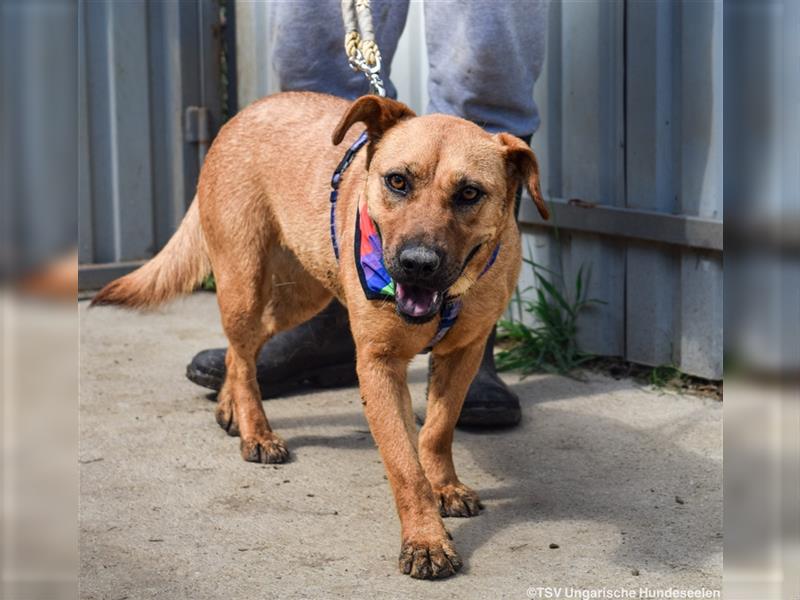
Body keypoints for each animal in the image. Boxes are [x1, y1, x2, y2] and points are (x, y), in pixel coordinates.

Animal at [90, 92, 548, 576]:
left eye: (469, 193)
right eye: (398, 181)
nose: (417, 264)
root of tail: (248, 110)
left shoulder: (464, 353)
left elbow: (438, 431)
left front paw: (443, 486)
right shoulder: (378, 365)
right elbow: (404, 465)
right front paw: (425, 540)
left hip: (302, 294)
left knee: (242, 351)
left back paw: (232, 408)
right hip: (242, 284)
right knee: (242, 350)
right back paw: (257, 432)